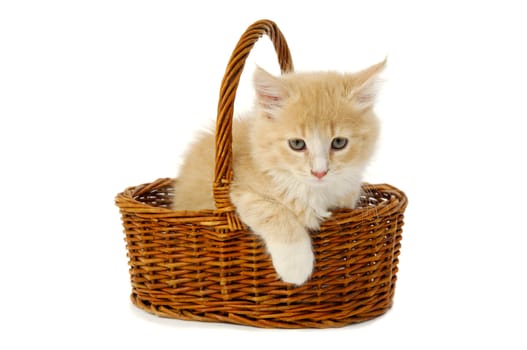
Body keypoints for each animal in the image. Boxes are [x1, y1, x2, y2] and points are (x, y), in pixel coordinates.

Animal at [175, 59, 386, 284]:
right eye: (297, 144)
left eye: (339, 143)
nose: (319, 172)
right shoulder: (238, 190)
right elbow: (273, 211)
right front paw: (296, 265)